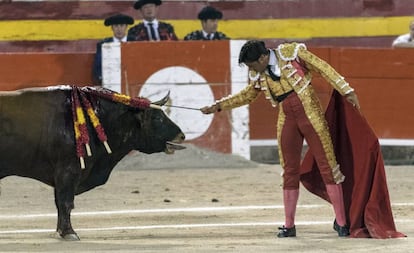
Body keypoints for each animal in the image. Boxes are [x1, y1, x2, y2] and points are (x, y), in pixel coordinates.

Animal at [0, 86, 185, 240]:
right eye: (157, 118)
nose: (182, 135)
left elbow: (60, 203)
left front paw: (60, 231)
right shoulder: (68, 171)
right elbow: (66, 202)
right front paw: (69, 233)